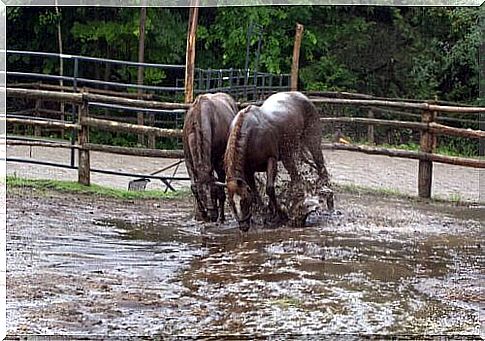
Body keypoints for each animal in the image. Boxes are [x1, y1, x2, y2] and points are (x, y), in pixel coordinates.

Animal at [182, 91, 237, 222]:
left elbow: (222, 191)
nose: (212, 215)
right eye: (202, 194)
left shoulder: (218, 162)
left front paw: (221, 217)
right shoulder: (188, 161)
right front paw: (201, 213)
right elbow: (193, 187)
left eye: (213, 191)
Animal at [223, 91, 328, 231]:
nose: (244, 226)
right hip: (288, 156)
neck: (251, 134)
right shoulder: (248, 171)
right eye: (230, 202)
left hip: (312, 143)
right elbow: (255, 192)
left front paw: (278, 213)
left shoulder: (271, 160)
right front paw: (264, 213)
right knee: (296, 178)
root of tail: (302, 96)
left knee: (320, 166)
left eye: (244, 200)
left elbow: (269, 188)